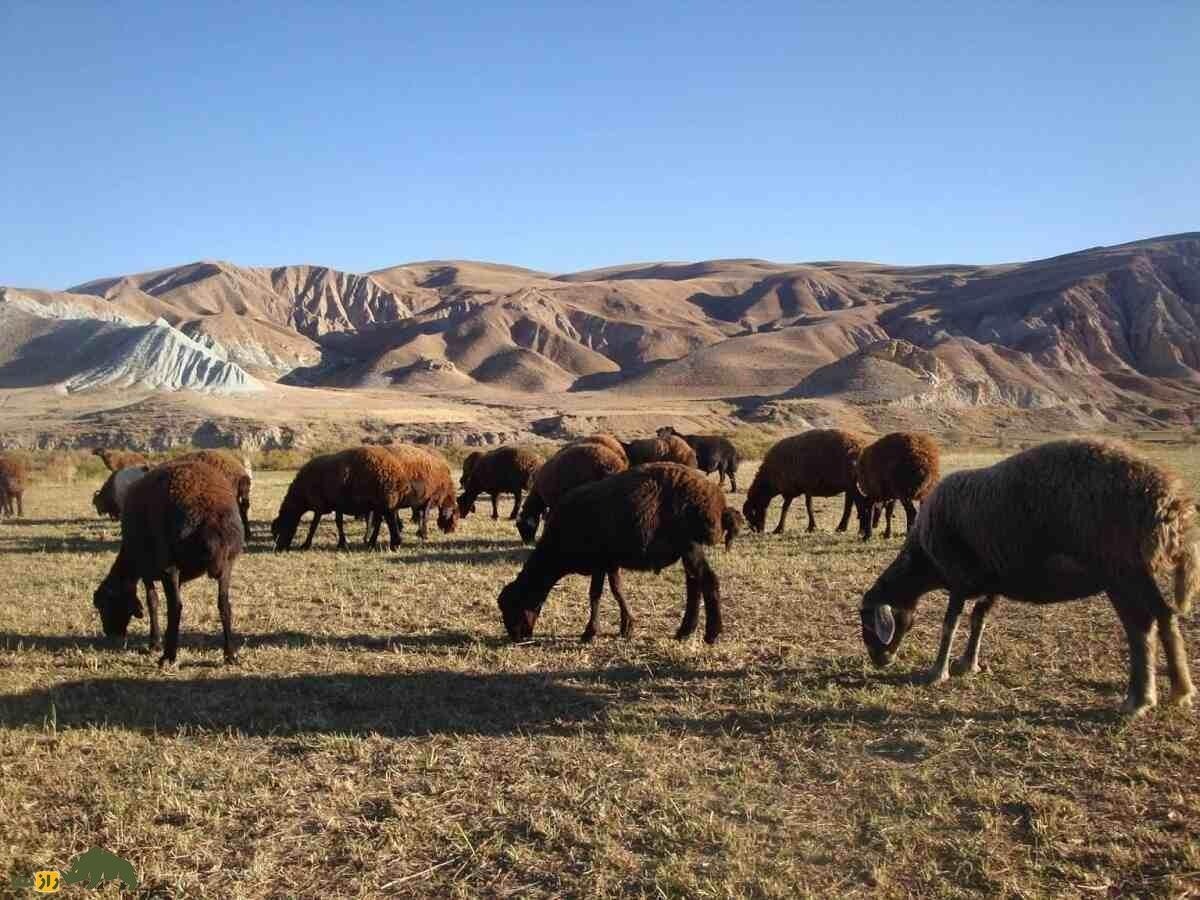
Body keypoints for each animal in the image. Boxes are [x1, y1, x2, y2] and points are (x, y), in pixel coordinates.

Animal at [92, 460, 244, 667]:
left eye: (104, 606)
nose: (110, 634)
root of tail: (210, 517)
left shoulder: (146, 570)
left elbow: (152, 602)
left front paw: (154, 643)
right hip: (228, 562)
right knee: (224, 604)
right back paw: (230, 654)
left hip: (169, 564)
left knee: (176, 607)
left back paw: (168, 656)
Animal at [498, 463, 743, 644]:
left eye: (512, 606)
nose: (516, 637)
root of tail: (718, 504)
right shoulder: (610, 561)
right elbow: (617, 590)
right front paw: (627, 626)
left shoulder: (599, 561)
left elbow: (595, 594)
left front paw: (590, 633)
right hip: (687, 548)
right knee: (694, 584)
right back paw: (685, 631)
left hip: (690, 544)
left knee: (707, 581)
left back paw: (711, 634)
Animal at [859, 439, 1199, 716]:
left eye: (867, 622)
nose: (879, 660)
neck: (923, 560)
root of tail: (1169, 500)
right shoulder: (990, 581)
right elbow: (978, 620)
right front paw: (967, 664)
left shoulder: (958, 579)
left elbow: (949, 625)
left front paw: (936, 672)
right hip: (1139, 571)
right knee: (1165, 616)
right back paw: (1180, 690)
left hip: (1120, 571)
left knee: (1140, 626)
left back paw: (1139, 700)